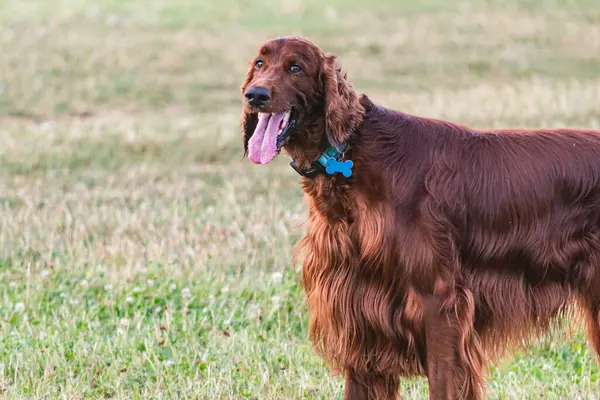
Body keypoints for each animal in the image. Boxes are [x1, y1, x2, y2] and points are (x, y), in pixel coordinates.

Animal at [241, 36, 600, 398]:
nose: (255, 95)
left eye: (295, 67)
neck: (349, 157)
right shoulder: (358, 309)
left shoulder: (439, 302)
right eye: (259, 63)